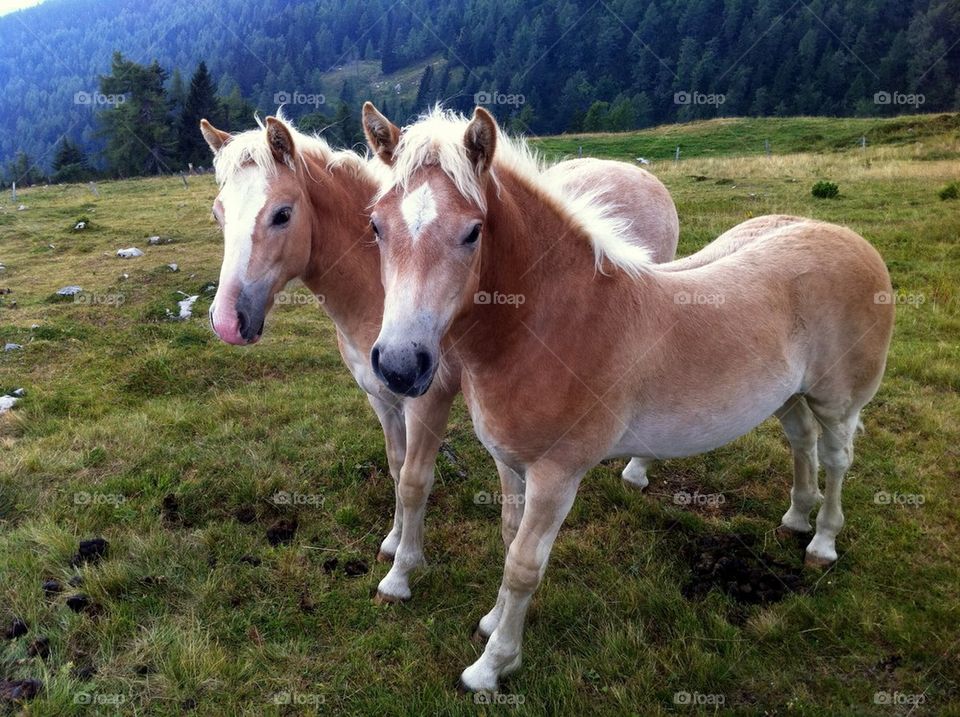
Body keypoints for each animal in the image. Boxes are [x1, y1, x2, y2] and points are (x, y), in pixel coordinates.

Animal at [199, 112, 679, 603]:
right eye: (218, 214)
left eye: (282, 214)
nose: (227, 321)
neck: (375, 293)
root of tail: (639, 175)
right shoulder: (382, 396)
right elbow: (396, 466)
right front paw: (393, 542)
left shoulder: (428, 398)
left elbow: (415, 480)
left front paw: (402, 574)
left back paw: (637, 471)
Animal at [362, 104, 895, 691]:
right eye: (376, 226)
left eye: (473, 231)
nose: (400, 365)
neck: (556, 324)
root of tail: (850, 239)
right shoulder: (510, 462)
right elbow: (508, 538)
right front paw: (492, 622)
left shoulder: (557, 476)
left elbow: (523, 565)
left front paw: (493, 665)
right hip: (789, 397)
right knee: (801, 442)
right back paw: (797, 518)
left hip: (838, 402)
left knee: (836, 457)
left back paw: (822, 543)